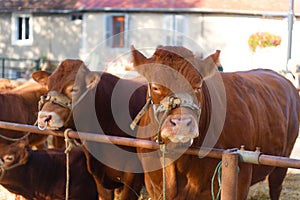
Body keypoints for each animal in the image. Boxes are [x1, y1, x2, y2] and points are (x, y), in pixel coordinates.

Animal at [132, 45, 300, 200]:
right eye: (155, 87)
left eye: (197, 87)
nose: (182, 124)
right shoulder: (153, 186)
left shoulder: (241, 180)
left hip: (283, 158)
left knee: (276, 186)